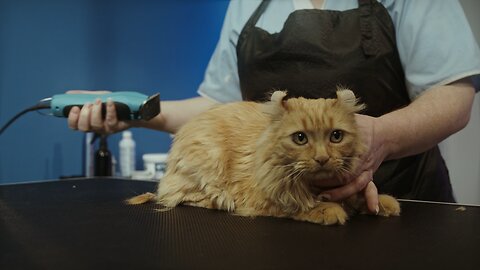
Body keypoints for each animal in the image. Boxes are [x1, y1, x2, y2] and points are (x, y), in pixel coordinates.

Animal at [125, 89, 400, 225]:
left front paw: (380, 203)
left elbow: (362, 197)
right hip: (207, 161)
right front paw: (326, 209)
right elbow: (294, 204)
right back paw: (221, 200)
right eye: (300, 138)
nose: (321, 158)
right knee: (183, 196)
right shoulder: (262, 196)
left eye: (336, 136)